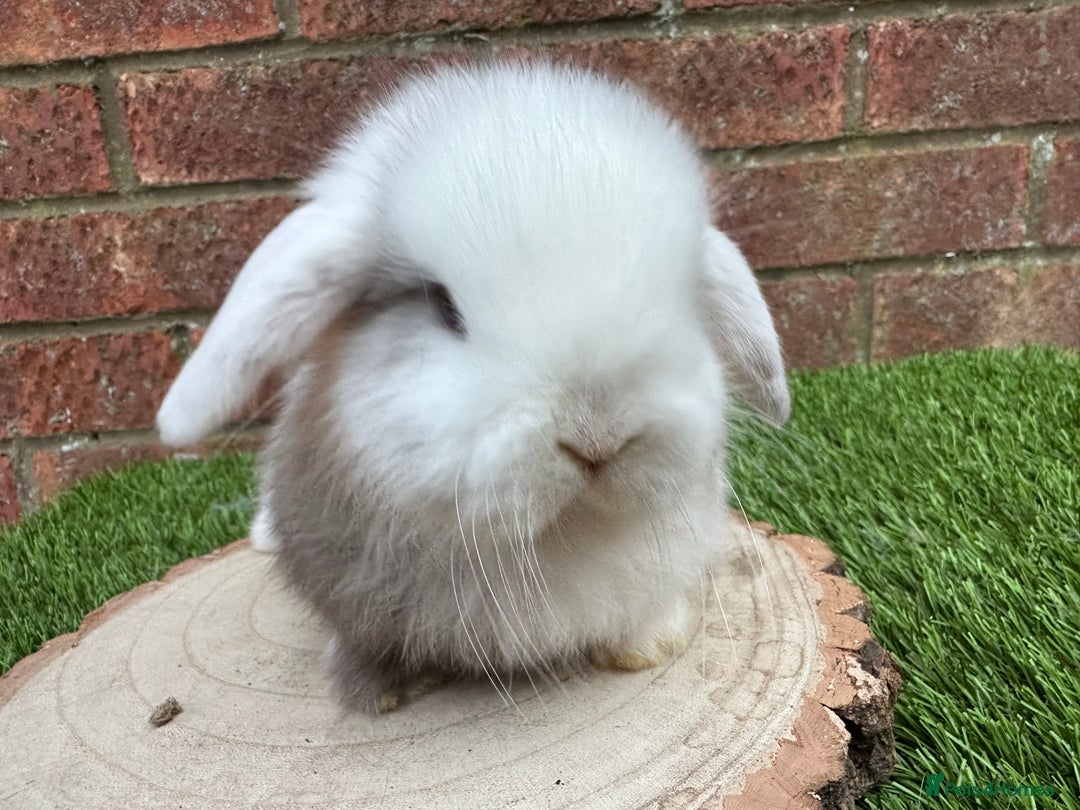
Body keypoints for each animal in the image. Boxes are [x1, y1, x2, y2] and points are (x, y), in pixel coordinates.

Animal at [156, 61, 790, 713]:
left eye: (685, 299)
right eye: (442, 305)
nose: (598, 437)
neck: (564, 537)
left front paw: (649, 647)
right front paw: (375, 692)